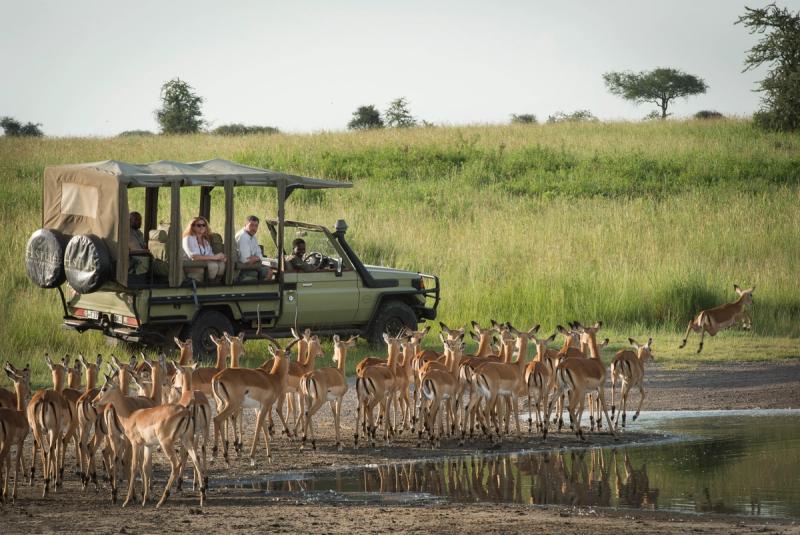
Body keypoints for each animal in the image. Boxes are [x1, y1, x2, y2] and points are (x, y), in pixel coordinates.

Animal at [92, 374, 206, 508]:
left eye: (104, 388)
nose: (93, 402)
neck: (130, 417)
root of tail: (186, 412)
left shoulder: (135, 444)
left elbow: (134, 467)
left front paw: (127, 500)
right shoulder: (148, 446)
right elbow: (146, 466)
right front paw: (145, 499)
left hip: (166, 443)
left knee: (176, 464)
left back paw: (162, 500)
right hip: (187, 440)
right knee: (196, 460)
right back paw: (202, 497)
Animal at [211, 335, 299, 465]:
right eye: (290, 355)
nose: (293, 367)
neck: (273, 379)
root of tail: (217, 377)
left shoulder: (258, 408)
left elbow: (264, 429)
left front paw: (269, 456)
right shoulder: (266, 405)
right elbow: (258, 427)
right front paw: (252, 457)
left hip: (222, 404)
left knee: (221, 421)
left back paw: (224, 456)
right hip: (232, 405)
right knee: (217, 419)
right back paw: (219, 457)